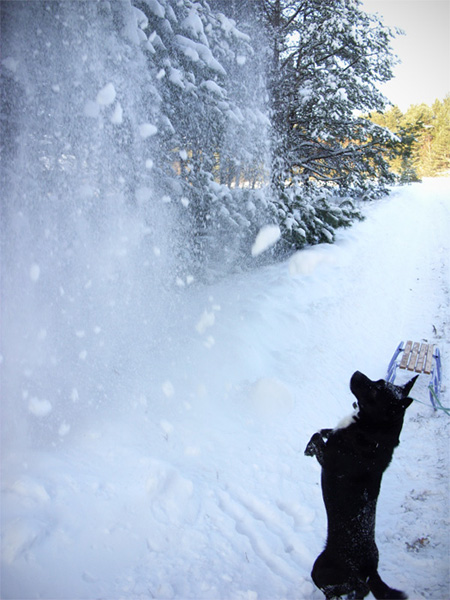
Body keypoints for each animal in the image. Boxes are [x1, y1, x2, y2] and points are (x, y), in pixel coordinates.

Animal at [304, 370, 416, 600]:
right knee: (360, 589)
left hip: (321, 569)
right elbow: (323, 430)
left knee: (358, 587)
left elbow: (318, 436)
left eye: (375, 390)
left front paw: (308, 448)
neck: (372, 430)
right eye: (379, 382)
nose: (356, 373)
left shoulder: (329, 460)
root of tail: (371, 568)